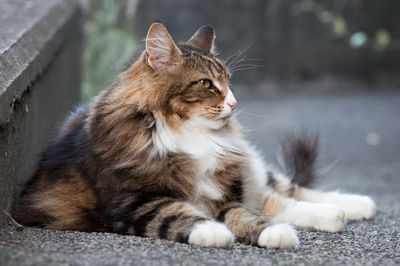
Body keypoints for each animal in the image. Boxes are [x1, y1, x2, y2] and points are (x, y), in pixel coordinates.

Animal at [12, 21, 376, 248]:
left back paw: (353, 206)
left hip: (247, 173)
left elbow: (248, 216)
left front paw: (272, 234)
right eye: (206, 84)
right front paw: (215, 232)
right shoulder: (136, 202)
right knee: (279, 199)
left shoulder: (223, 194)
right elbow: (180, 215)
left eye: (228, 81)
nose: (234, 102)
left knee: (285, 190)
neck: (188, 134)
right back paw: (338, 213)